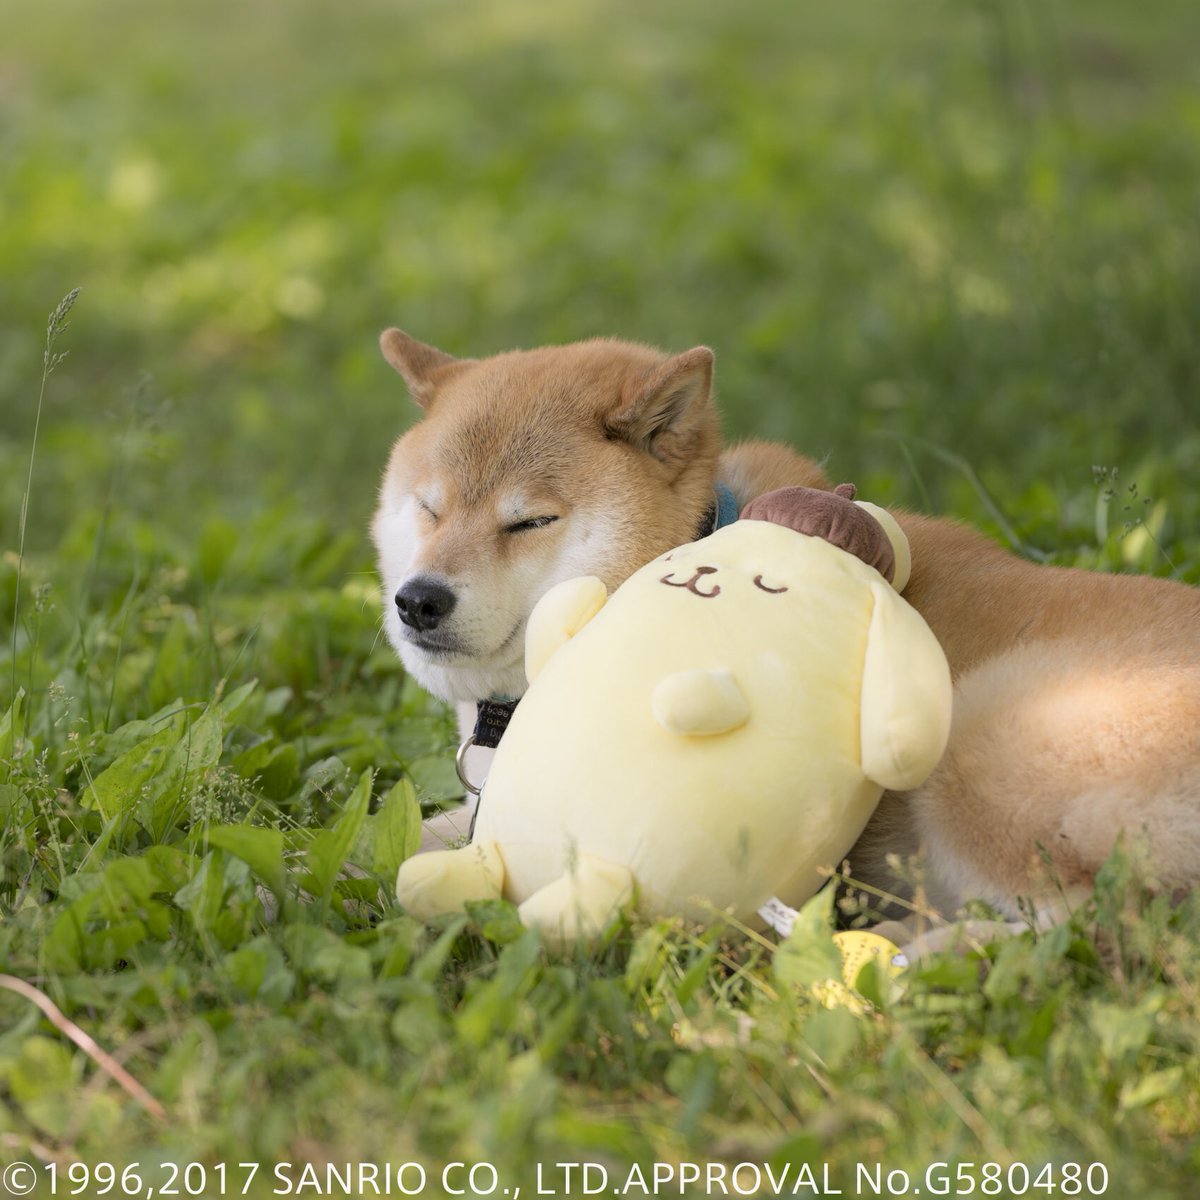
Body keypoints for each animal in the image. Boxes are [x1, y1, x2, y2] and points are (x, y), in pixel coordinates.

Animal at [372, 333, 1200, 921]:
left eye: (529, 522)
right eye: (431, 507)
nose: (418, 600)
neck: (703, 530)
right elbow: (382, 838)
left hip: (977, 736)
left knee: (1089, 929)